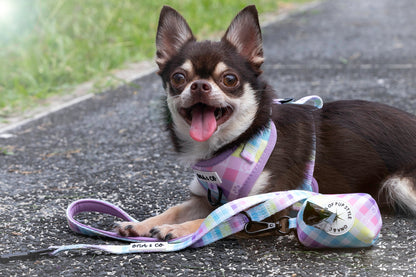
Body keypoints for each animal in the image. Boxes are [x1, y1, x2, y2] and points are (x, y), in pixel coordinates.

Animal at [115, 5, 416, 240]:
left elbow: (213, 220)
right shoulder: (204, 198)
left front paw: (177, 230)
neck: (233, 143)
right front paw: (142, 224)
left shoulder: (263, 208)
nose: (199, 85)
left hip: (400, 184)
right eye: (178, 78)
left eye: (230, 79)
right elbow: (176, 209)